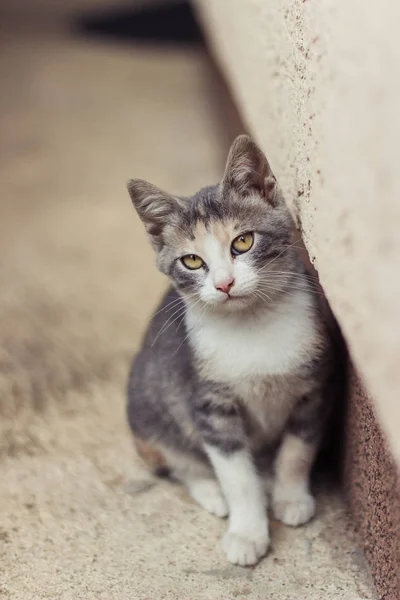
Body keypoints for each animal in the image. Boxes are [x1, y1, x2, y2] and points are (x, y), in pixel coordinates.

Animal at [126, 136, 340, 568]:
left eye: (243, 241)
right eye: (192, 260)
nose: (224, 284)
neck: (252, 324)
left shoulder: (317, 383)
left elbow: (298, 449)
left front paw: (291, 496)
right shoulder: (208, 402)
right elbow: (235, 474)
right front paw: (247, 532)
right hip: (150, 406)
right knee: (177, 459)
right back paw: (212, 493)